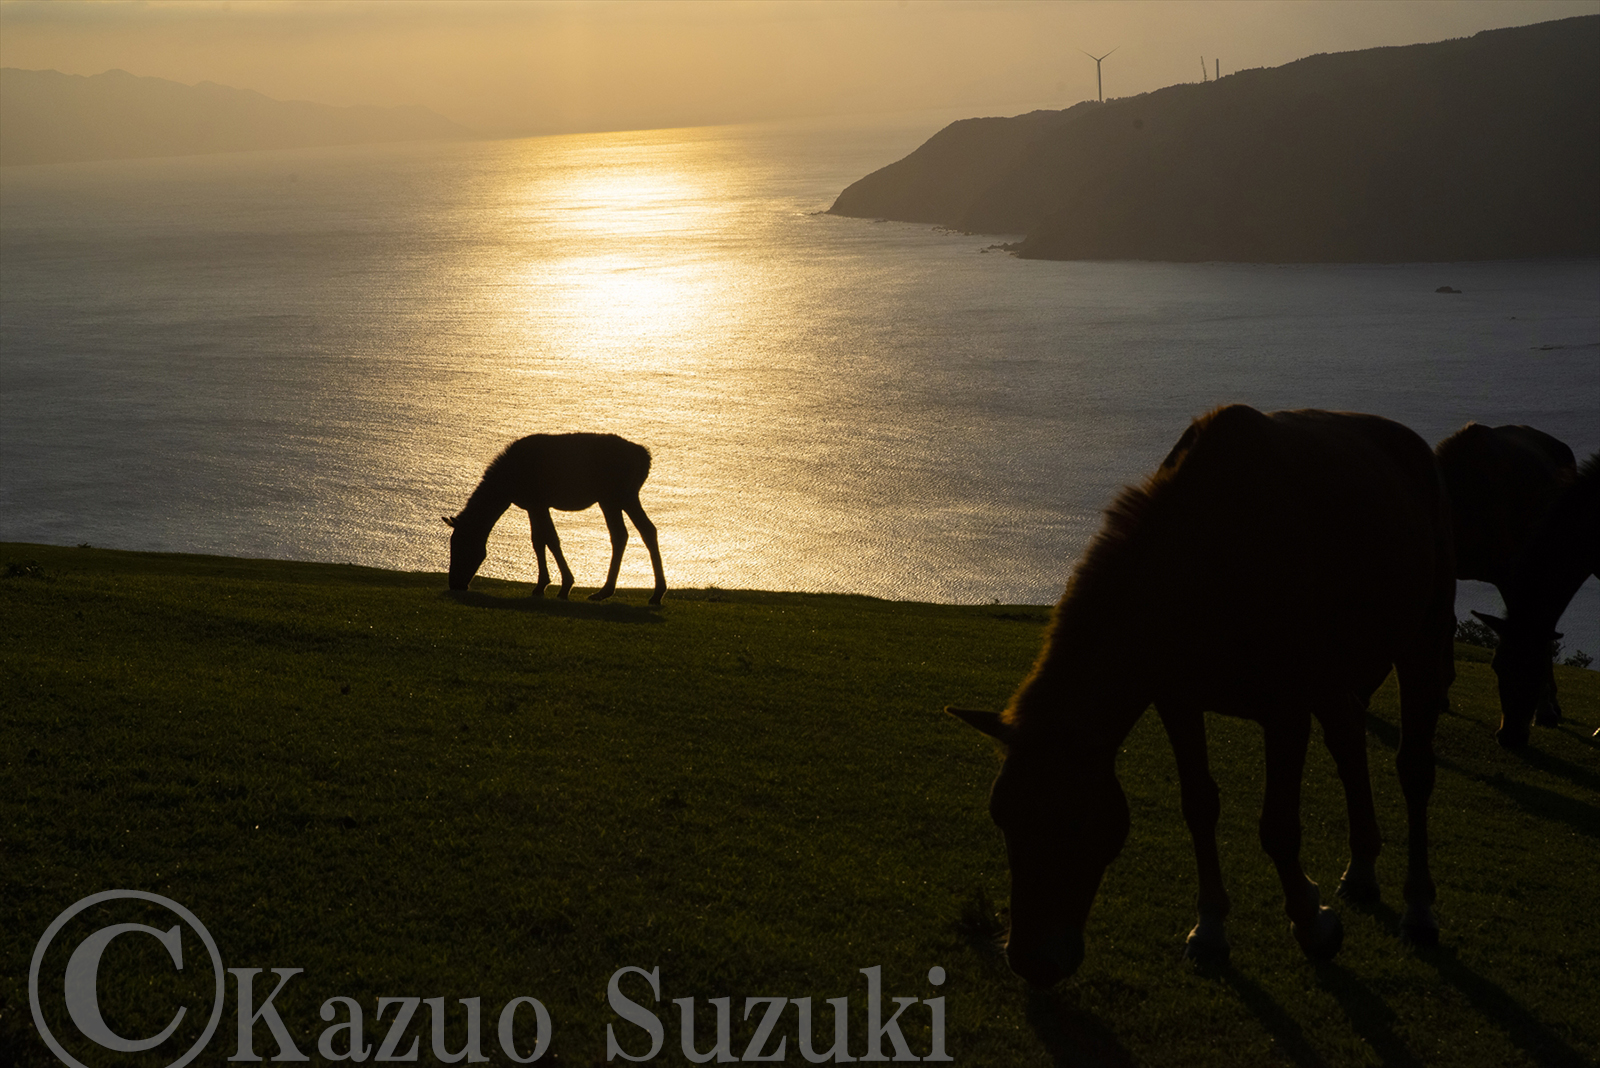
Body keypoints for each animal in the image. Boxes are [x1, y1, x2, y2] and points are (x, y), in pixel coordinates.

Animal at [444, 433, 667, 605]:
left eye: (460, 545)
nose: (454, 584)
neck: (506, 487)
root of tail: (645, 458)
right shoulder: (533, 505)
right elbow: (538, 540)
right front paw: (541, 585)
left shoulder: (538, 502)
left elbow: (551, 539)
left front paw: (565, 586)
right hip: (625, 497)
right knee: (646, 530)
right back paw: (655, 593)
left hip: (612, 497)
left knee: (621, 534)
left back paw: (605, 592)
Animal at [948, 405, 1455, 987]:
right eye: (1002, 817)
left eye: (1073, 821)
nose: (1032, 961)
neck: (1209, 557)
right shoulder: (1178, 700)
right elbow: (1198, 805)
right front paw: (1211, 928)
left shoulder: (1285, 711)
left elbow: (1278, 828)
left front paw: (1312, 923)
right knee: (1348, 740)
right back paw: (1363, 869)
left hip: (1422, 638)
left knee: (1414, 768)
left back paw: (1419, 909)